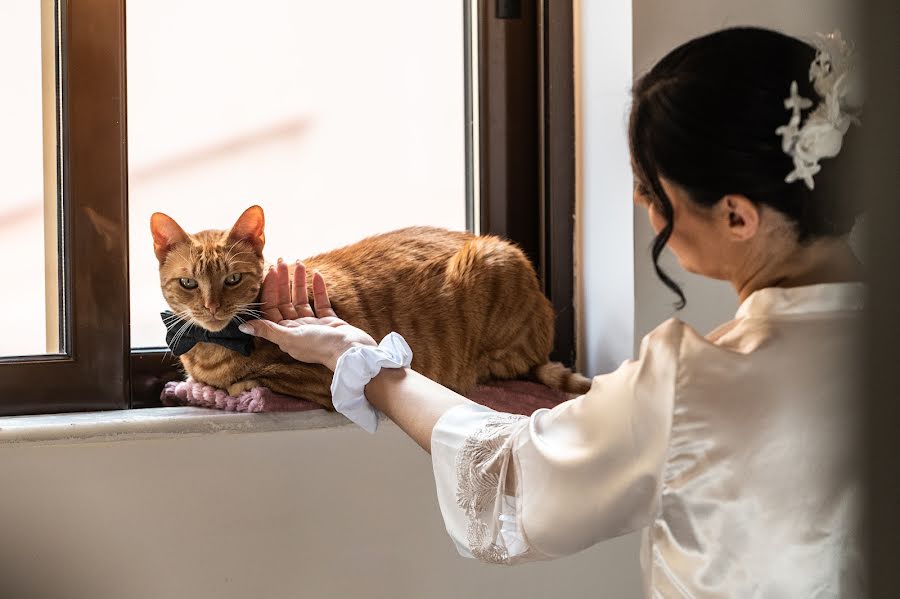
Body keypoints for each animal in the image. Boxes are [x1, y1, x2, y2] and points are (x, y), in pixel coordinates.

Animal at [151, 205, 596, 408]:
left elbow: (258, 380)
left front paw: (239, 385)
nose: (212, 307)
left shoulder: (317, 381)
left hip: (494, 261)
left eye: (233, 280)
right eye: (189, 283)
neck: (213, 345)